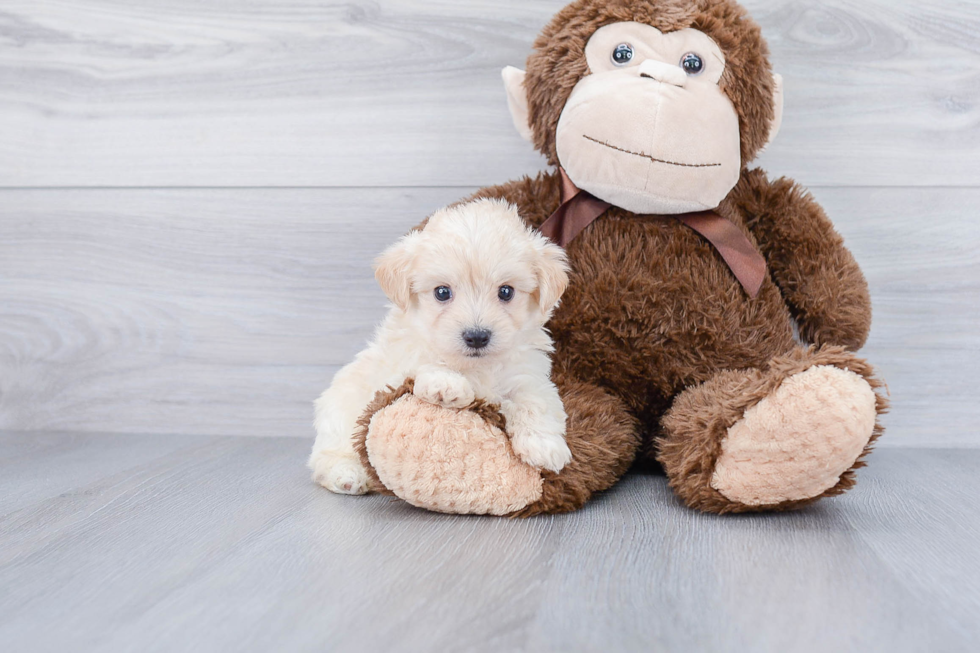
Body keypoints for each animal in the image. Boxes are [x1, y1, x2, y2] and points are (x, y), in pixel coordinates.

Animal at [310, 199, 576, 494]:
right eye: (442, 292)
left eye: (506, 292)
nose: (477, 336)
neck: (474, 365)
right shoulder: (397, 367)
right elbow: (424, 364)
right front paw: (447, 385)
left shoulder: (526, 374)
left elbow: (535, 400)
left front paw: (544, 446)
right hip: (337, 418)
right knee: (326, 457)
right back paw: (348, 475)